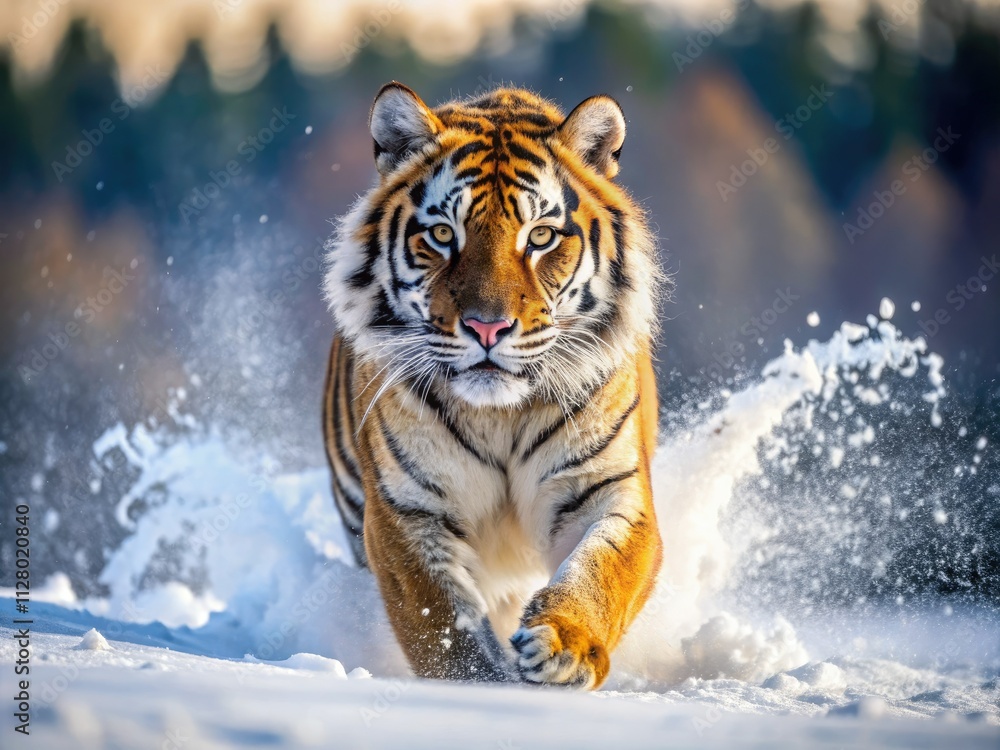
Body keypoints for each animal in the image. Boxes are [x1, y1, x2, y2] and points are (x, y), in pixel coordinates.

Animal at [322, 82, 666, 689]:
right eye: (442, 235)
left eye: (541, 237)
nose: (488, 326)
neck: (501, 414)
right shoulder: (406, 509)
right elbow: (442, 621)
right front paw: (483, 685)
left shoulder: (609, 486)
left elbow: (601, 572)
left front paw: (562, 648)